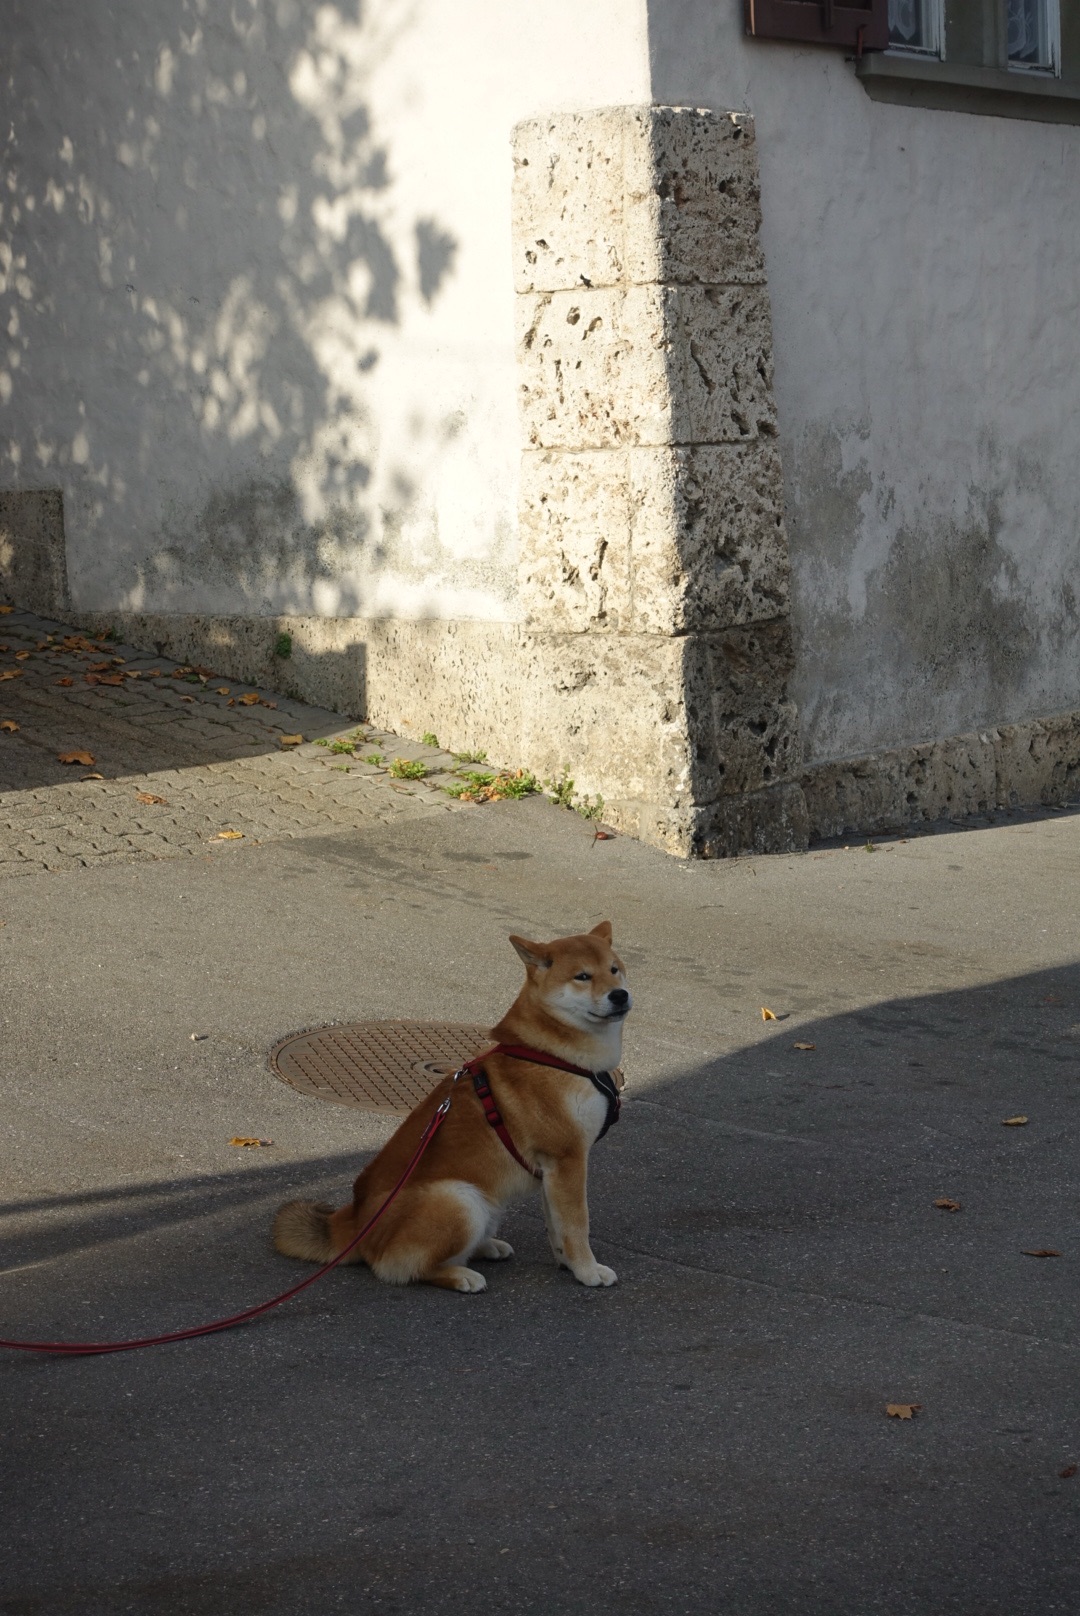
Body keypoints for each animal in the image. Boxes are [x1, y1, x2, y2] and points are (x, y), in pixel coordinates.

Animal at [271, 930, 633, 1292]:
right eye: (583, 976)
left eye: (614, 969)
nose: (620, 995)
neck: (552, 1054)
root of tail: (356, 1221)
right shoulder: (567, 1158)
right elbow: (577, 1223)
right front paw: (588, 1270)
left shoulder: (553, 1169)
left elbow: (557, 1226)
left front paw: (567, 1263)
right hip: (460, 1199)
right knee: (402, 1268)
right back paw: (461, 1275)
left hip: (487, 1201)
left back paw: (486, 1247)